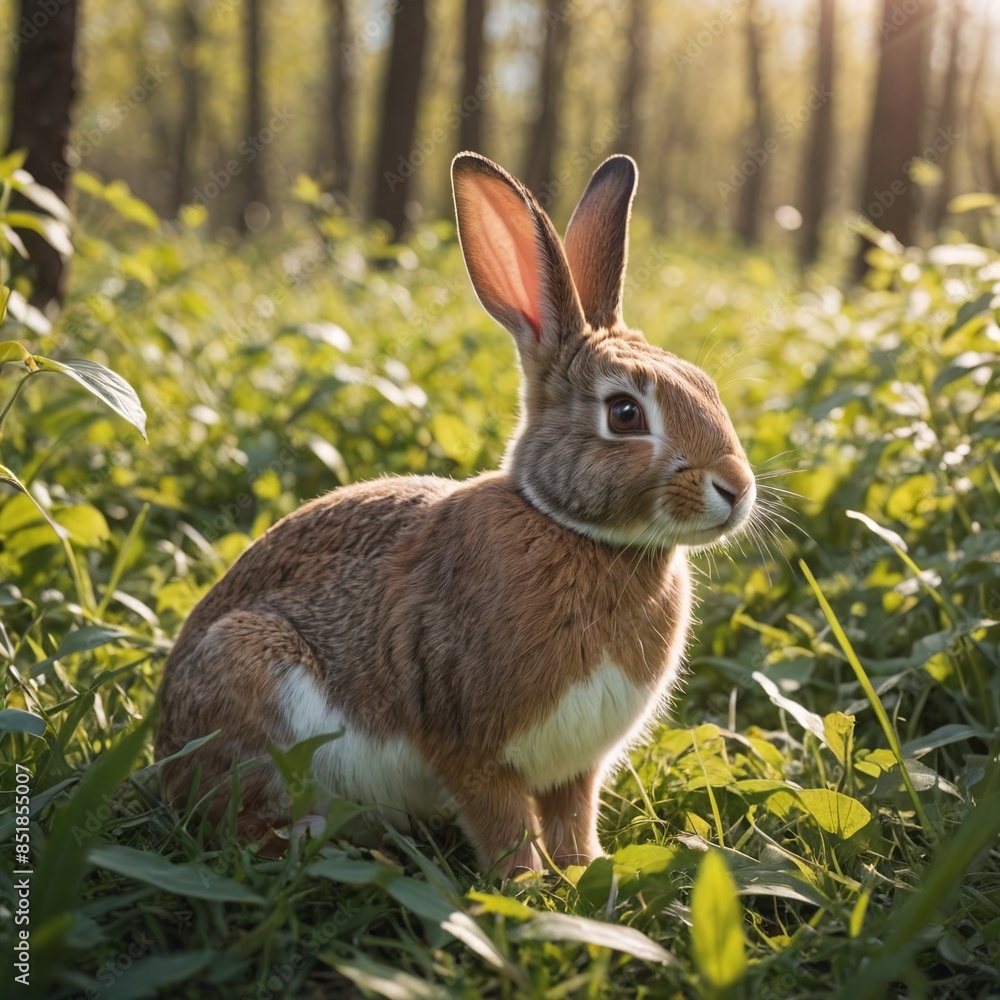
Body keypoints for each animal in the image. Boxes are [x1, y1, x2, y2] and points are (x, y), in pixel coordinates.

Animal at [154, 152, 757, 877]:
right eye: (624, 414)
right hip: (251, 670)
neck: (576, 533)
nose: (737, 489)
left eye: (707, 386)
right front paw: (525, 887)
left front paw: (585, 871)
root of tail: (162, 750)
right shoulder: (471, 745)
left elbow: (573, 818)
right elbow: (502, 823)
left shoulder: (574, 765)